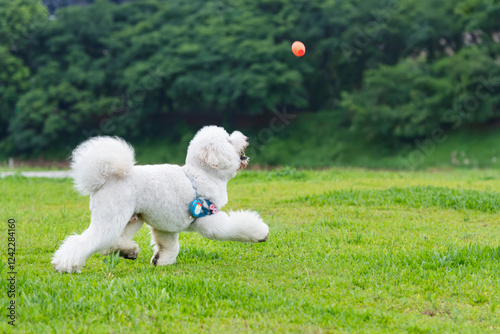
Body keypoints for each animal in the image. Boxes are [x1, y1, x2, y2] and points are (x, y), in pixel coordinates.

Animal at [52, 126, 270, 272]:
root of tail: (103, 178)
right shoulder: (208, 218)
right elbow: (235, 227)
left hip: (132, 218)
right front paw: (260, 232)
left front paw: (161, 261)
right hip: (111, 218)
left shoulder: (164, 226)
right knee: (86, 241)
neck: (201, 174)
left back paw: (128, 251)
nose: (247, 138)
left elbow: (169, 245)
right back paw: (65, 265)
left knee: (113, 243)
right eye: (228, 140)